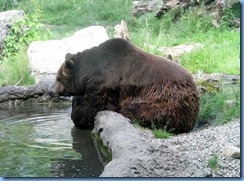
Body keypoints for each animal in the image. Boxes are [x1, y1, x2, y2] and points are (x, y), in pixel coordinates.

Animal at [52, 38, 199, 134]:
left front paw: (79, 118)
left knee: (140, 111)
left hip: (164, 100)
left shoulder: (106, 84)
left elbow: (94, 105)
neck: (88, 73)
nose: (52, 90)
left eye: (58, 78)